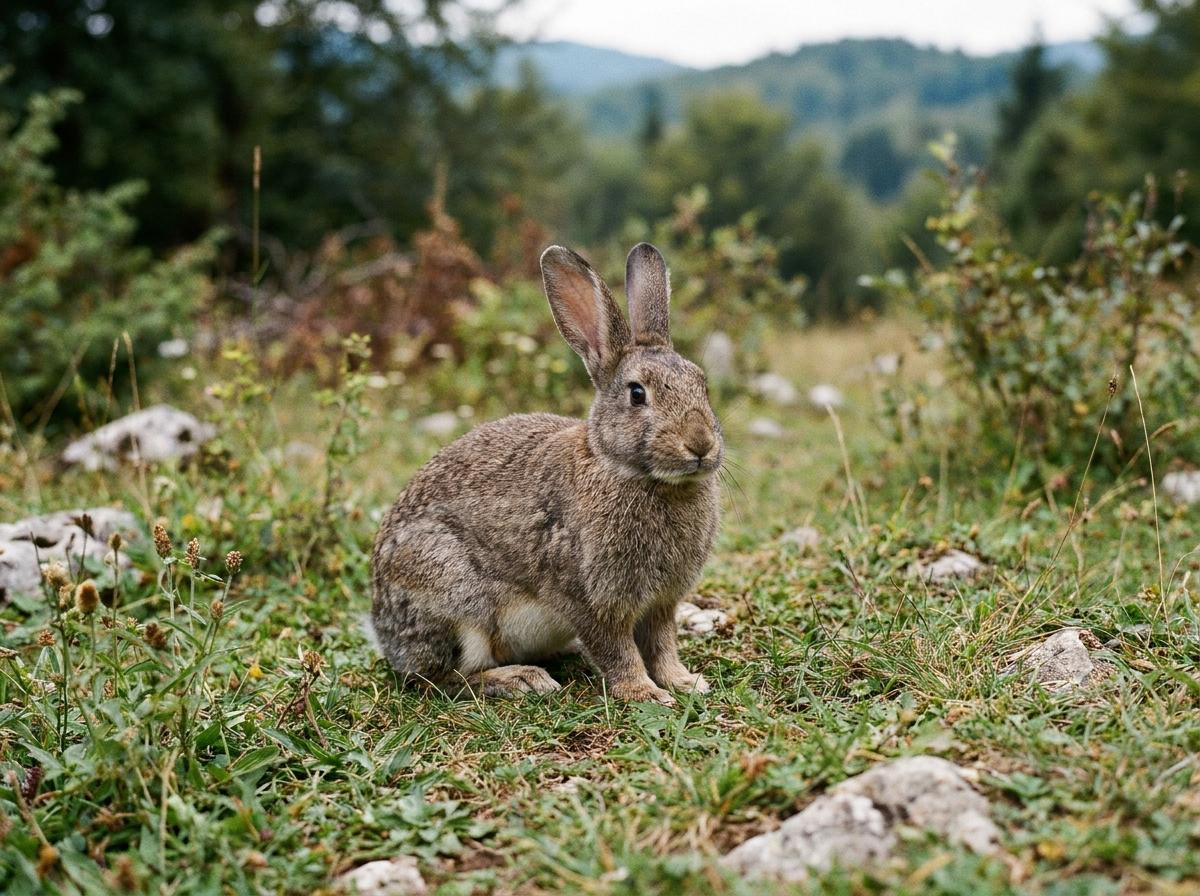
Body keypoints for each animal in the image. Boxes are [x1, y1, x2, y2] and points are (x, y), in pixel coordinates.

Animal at [367, 242, 724, 704]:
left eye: (702, 384)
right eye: (637, 394)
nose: (700, 445)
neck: (636, 474)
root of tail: (384, 632)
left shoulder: (661, 604)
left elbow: (662, 645)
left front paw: (684, 682)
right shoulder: (588, 596)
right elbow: (617, 649)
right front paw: (643, 693)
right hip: (451, 593)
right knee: (442, 678)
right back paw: (521, 679)